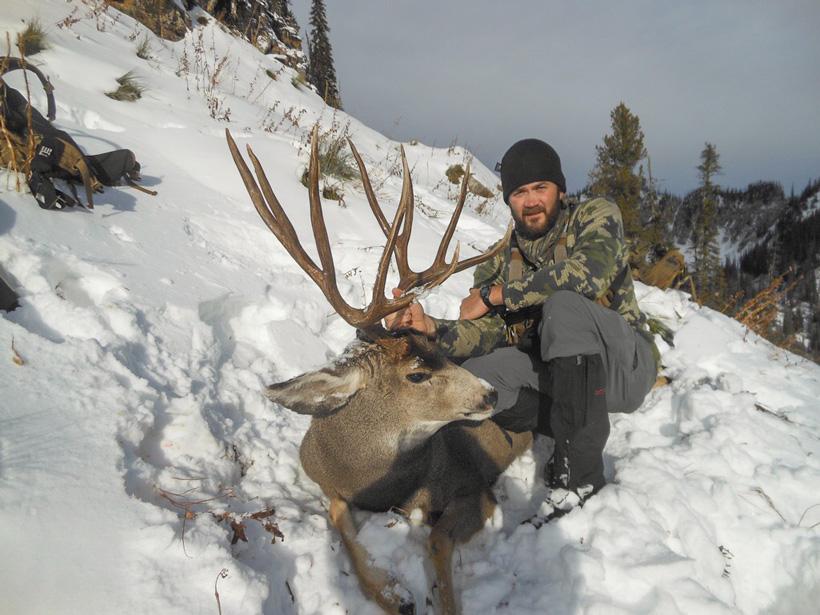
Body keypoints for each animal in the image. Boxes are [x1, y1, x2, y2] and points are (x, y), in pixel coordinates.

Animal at [226, 127, 533, 615]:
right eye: (417, 373)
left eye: (439, 349)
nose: (490, 395)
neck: (378, 484)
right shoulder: (329, 485)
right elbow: (339, 518)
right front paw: (391, 593)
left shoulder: (475, 487)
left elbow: (436, 540)